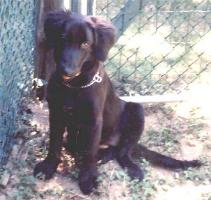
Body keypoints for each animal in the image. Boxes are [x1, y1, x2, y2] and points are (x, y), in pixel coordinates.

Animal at [34, 10, 201, 194]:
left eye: (85, 44)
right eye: (62, 38)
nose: (67, 71)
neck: (74, 85)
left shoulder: (94, 121)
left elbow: (90, 152)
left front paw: (87, 177)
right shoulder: (56, 113)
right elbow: (54, 144)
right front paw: (49, 166)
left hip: (136, 110)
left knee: (122, 151)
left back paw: (125, 165)